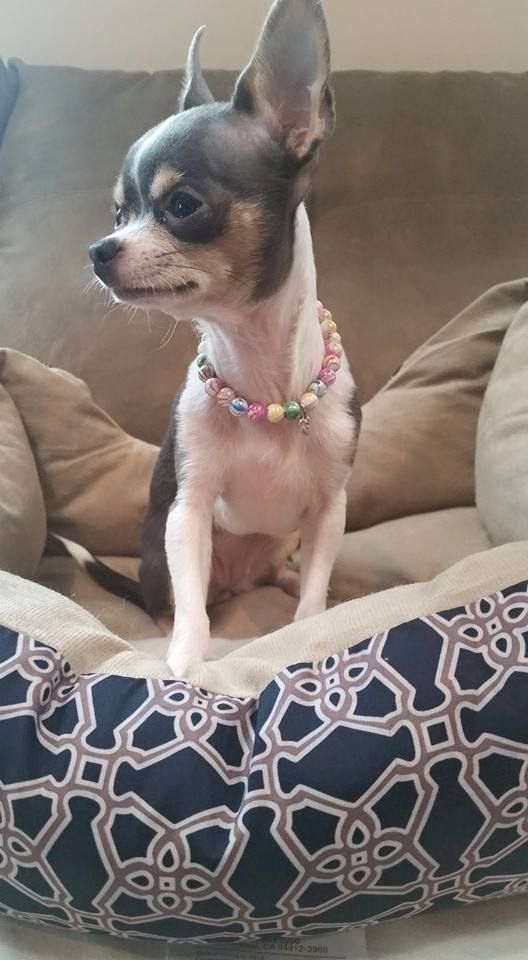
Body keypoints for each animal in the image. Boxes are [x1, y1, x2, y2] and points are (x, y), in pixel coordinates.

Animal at [87, 0, 358, 676]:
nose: (99, 250)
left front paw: (310, 627)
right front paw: (185, 666)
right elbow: (191, 613)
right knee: (176, 599)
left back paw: (283, 581)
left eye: (183, 205)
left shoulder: (328, 509)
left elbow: (315, 592)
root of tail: (236, 582)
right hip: (162, 556)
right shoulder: (187, 512)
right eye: (119, 214)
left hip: (281, 539)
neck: (263, 380)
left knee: (279, 574)